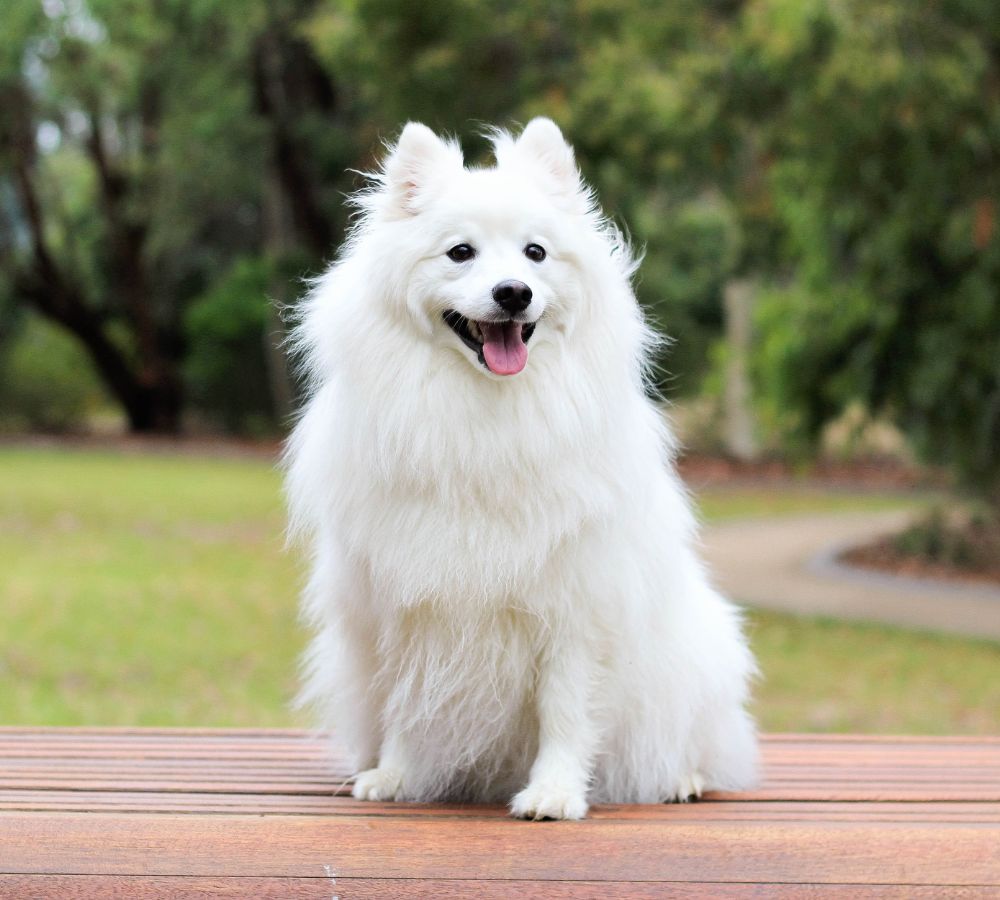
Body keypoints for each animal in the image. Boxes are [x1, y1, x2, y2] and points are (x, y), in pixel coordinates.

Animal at [286, 116, 752, 820]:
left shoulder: (574, 607)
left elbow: (565, 711)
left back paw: (682, 778)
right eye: (460, 253)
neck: (488, 415)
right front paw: (395, 775)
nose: (514, 292)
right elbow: (407, 702)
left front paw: (554, 793)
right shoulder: (403, 605)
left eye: (535, 253)